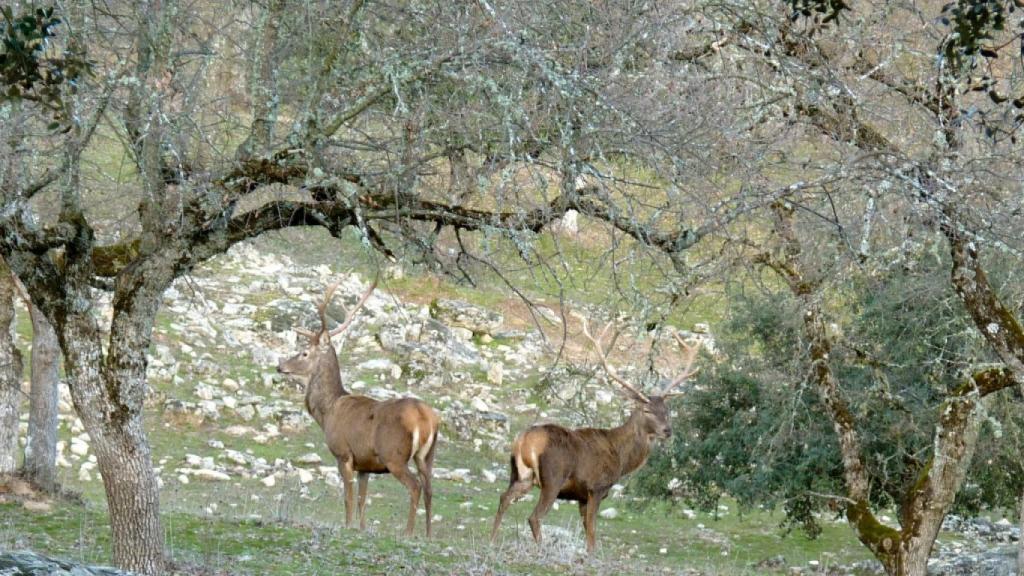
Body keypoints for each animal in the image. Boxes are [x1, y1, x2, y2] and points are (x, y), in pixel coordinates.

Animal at [276, 276, 440, 537]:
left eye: (304, 353)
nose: (280, 366)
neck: (328, 412)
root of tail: (426, 420)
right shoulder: (365, 464)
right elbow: (363, 500)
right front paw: (361, 528)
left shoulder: (344, 454)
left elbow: (348, 497)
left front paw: (347, 525)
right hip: (427, 456)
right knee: (430, 489)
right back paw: (428, 535)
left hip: (394, 455)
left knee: (415, 487)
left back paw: (407, 533)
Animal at [485, 311, 696, 553]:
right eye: (646, 410)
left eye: (666, 410)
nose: (667, 430)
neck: (621, 458)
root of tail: (523, 441)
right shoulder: (597, 487)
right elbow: (592, 531)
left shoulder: (581, 497)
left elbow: (586, 531)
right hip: (553, 478)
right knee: (534, 517)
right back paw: (540, 549)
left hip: (521, 476)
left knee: (504, 498)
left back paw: (491, 542)